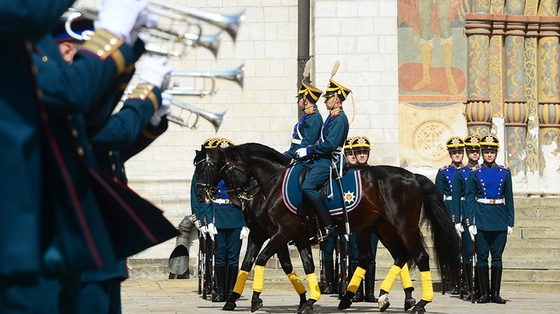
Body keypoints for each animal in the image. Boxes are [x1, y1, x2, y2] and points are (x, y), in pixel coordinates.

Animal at [197, 143, 460, 314]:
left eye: (210, 168)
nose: (201, 195)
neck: (271, 185)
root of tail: (413, 176)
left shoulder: (281, 233)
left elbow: (261, 260)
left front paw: (255, 300)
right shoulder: (277, 234)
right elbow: (288, 265)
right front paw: (307, 299)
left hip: (402, 227)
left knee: (420, 256)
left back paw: (419, 303)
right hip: (382, 228)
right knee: (397, 256)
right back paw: (379, 297)